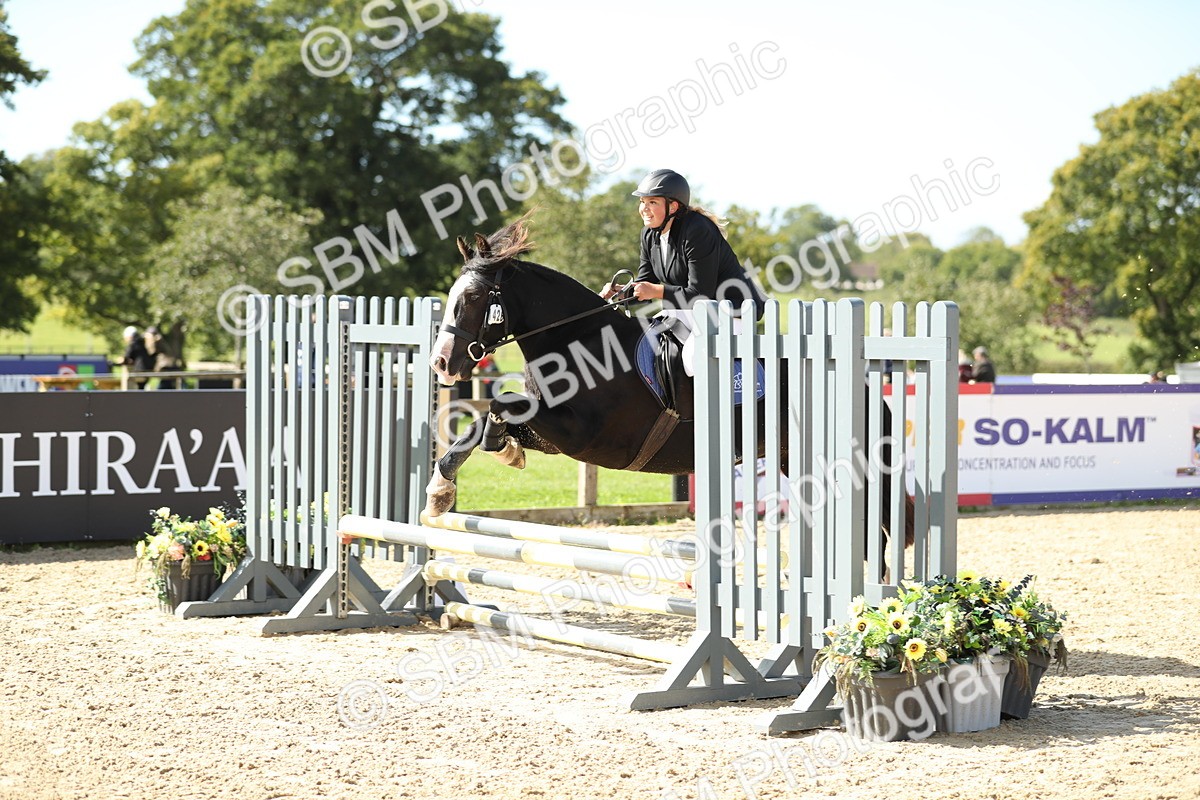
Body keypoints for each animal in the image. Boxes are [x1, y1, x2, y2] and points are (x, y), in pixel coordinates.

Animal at [426, 215, 915, 559]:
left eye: (473, 298)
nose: (441, 363)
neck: (577, 342)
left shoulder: (585, 438)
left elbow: (499, 403)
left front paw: (494, 454)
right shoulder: (554, 435)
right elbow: (483, 421)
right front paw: (443, 489)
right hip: (792, 458)